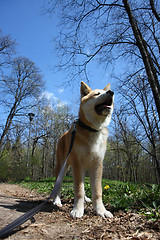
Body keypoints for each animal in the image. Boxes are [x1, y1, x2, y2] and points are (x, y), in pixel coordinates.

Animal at [53, 81, 114, 218]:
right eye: (97, 94)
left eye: (106, 92)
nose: (111, 92)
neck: (93, 129)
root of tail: (64, 134)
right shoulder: (77, 164)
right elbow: (79, 190)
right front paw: (78, 209)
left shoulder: (97, 165)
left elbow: (97, 191)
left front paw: (101, 210)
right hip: (63, 166)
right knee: (58, 185)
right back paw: (57, 201)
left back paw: (86, 199)